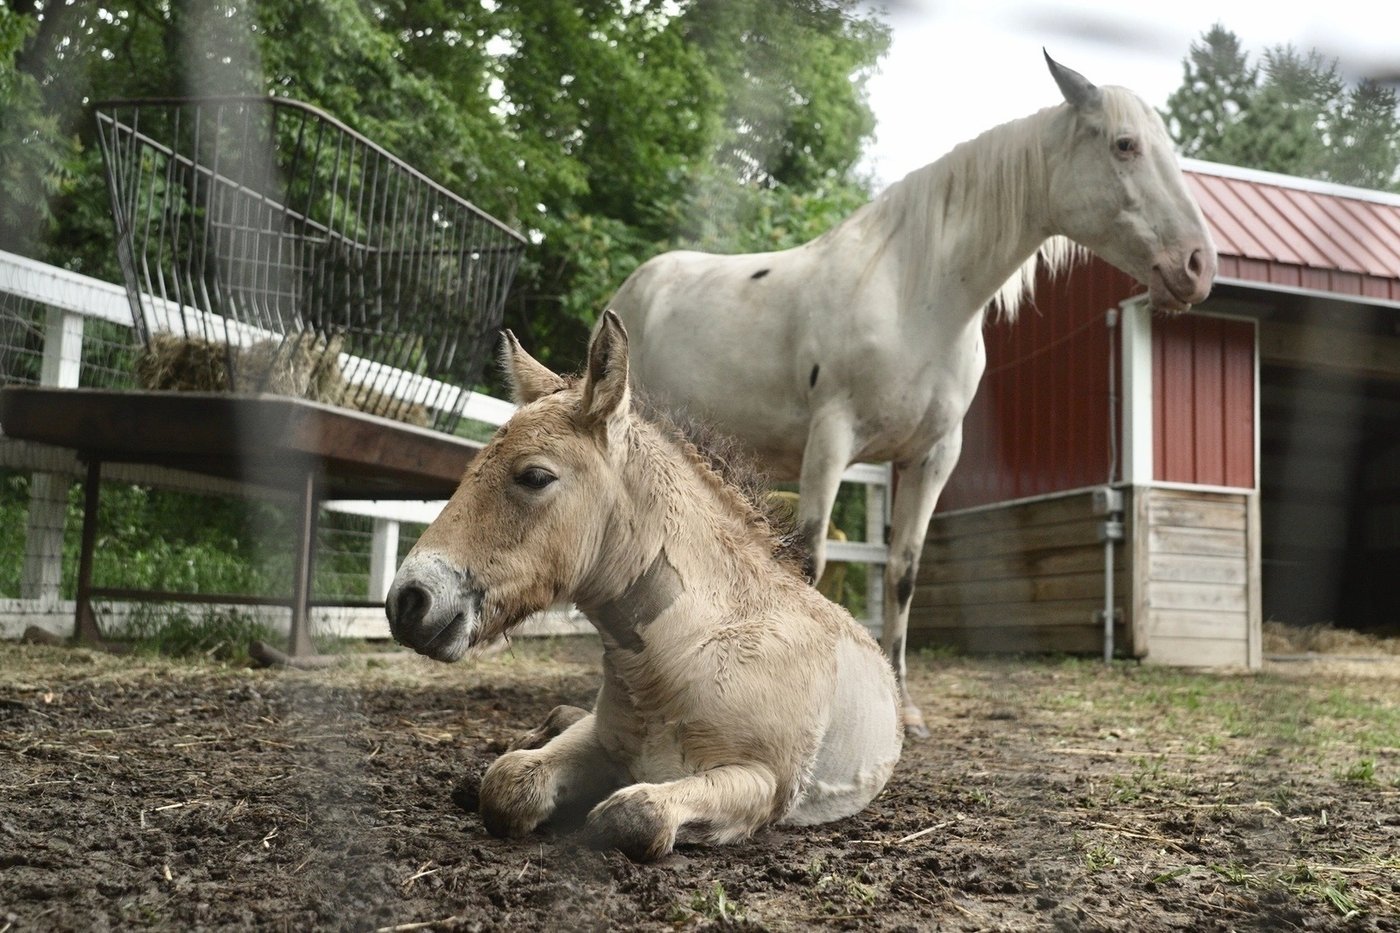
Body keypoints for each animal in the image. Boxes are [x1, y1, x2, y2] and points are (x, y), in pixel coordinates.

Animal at [385, 312, 903, 862]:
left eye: (534, 476)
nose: (408, 601)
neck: (686, 651)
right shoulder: (599, 738)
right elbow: (507, 783)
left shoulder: (764, 781)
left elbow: (634, 814)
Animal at [606, 53, 1217, 735]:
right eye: (1124, 144)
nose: (1198, 266)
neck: (916, 295)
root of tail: (631, 291)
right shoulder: (831, 441)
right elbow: (809, 562)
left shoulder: (931, 457)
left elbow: (903, 573)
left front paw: (905, 708)